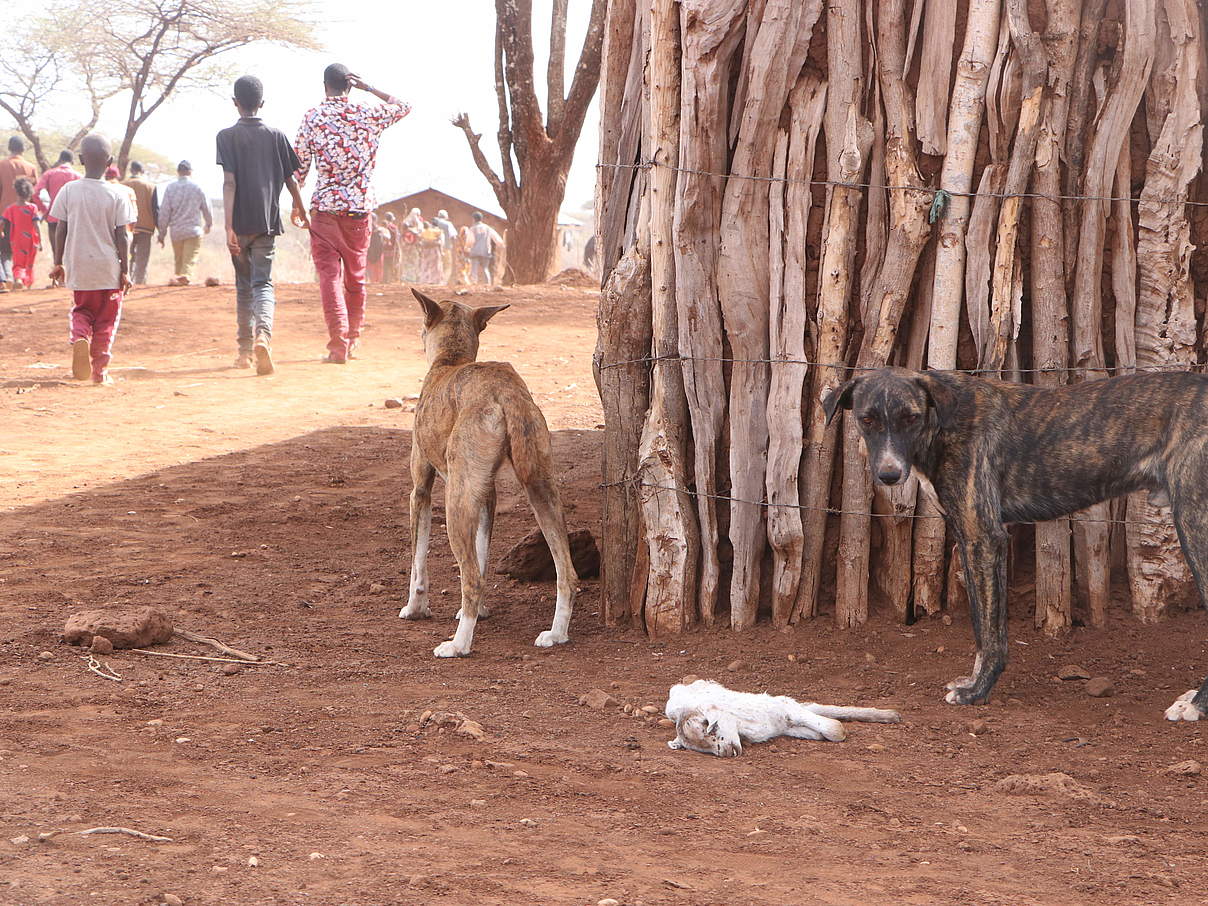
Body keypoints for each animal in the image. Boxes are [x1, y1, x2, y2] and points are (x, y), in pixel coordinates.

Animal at [398, 292, 577, 661]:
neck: (451, 361)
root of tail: (503, 390)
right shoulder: (486, 495)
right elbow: (482, 555)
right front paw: (480, 612)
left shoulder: (421, 489)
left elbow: (419, 562)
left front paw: (415, 608)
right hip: (541, 490)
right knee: (567, 573)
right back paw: (556, 634)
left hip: (454, 504)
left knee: (470, 578)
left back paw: (458, 645)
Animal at [826, 369, 1208, 724]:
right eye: (867, 419)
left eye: (910, 417)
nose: (889, 475)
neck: (942, 419)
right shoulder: (971, 541)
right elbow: (982, 626)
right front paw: (973, 681)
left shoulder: (984, 537)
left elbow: (992, 632)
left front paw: (977, 692)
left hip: (1193, 524)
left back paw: (1196, 705)